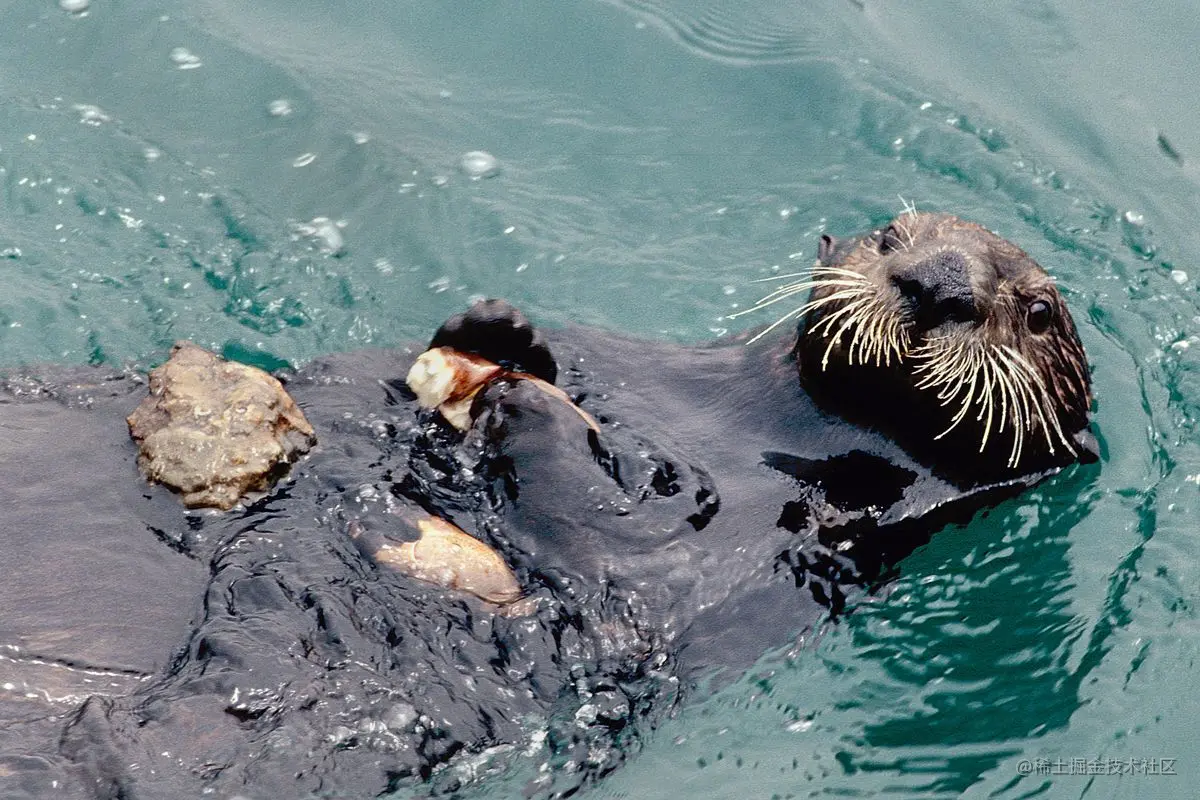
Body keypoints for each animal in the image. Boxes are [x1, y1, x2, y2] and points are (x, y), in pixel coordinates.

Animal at [0, 212, 1096, 798]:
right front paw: (501, 332)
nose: (937, 279)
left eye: (1039, 310)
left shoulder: (744, 549)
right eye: (889, 232)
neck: (770, 429)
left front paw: (524, 398)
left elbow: (616, 538)